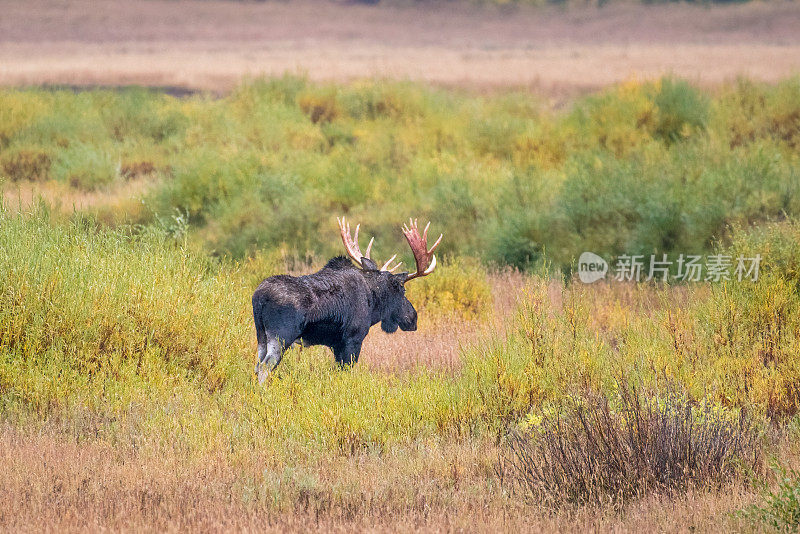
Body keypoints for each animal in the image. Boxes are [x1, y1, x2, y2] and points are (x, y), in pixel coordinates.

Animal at [253, 216, 440, 384]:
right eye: (402, 290)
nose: (413, 318)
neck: (373, 303)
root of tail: (259, 296)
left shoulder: (336, 345)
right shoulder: (353, 339)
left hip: (261, 335)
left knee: (257, 365)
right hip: (281, 336)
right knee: (264, 367)